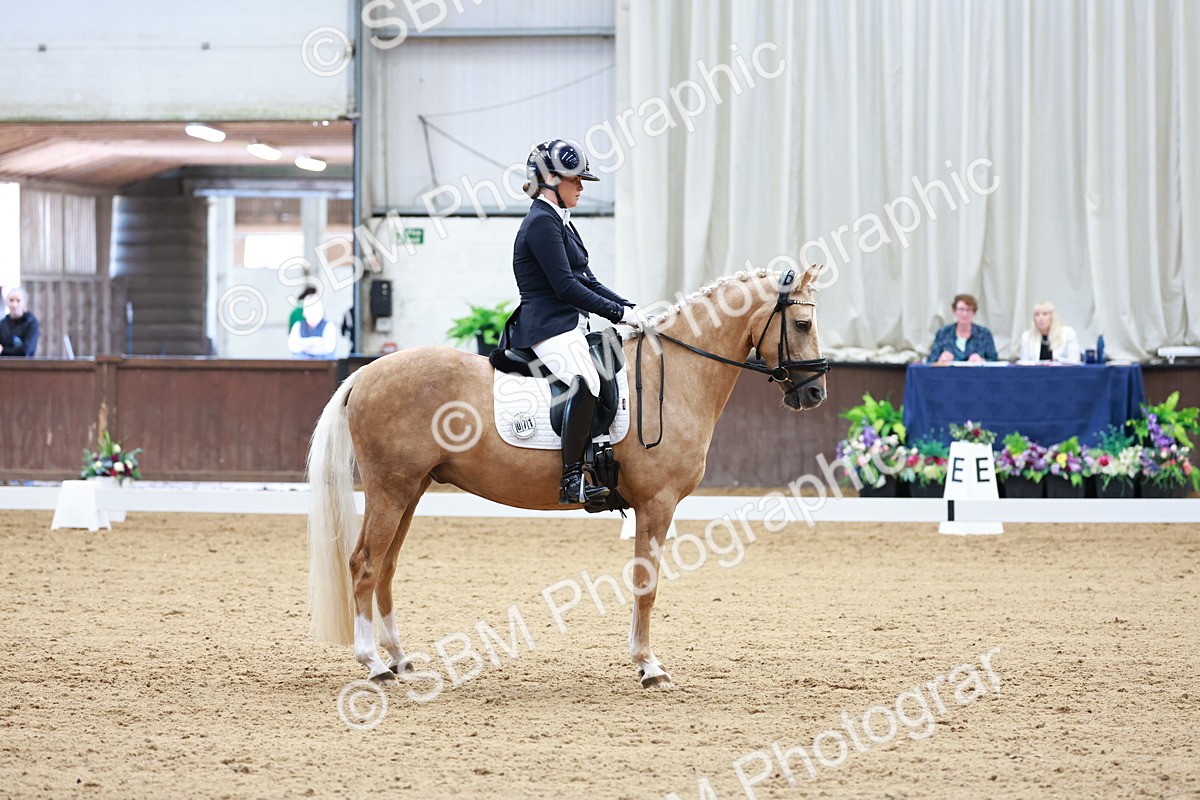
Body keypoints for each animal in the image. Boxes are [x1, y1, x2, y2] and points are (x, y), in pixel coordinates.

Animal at [307, 264, 829, 689]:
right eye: (802, 324)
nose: (815, 393)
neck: (674, 376)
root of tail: (366, 373)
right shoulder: (657, 503)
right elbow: (647, 583)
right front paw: (649, 667)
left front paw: (643, 662)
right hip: (390, 490)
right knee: (365, 565)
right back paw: (374, 665)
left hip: (411, 490)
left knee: (387, 568)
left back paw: (400, 659)